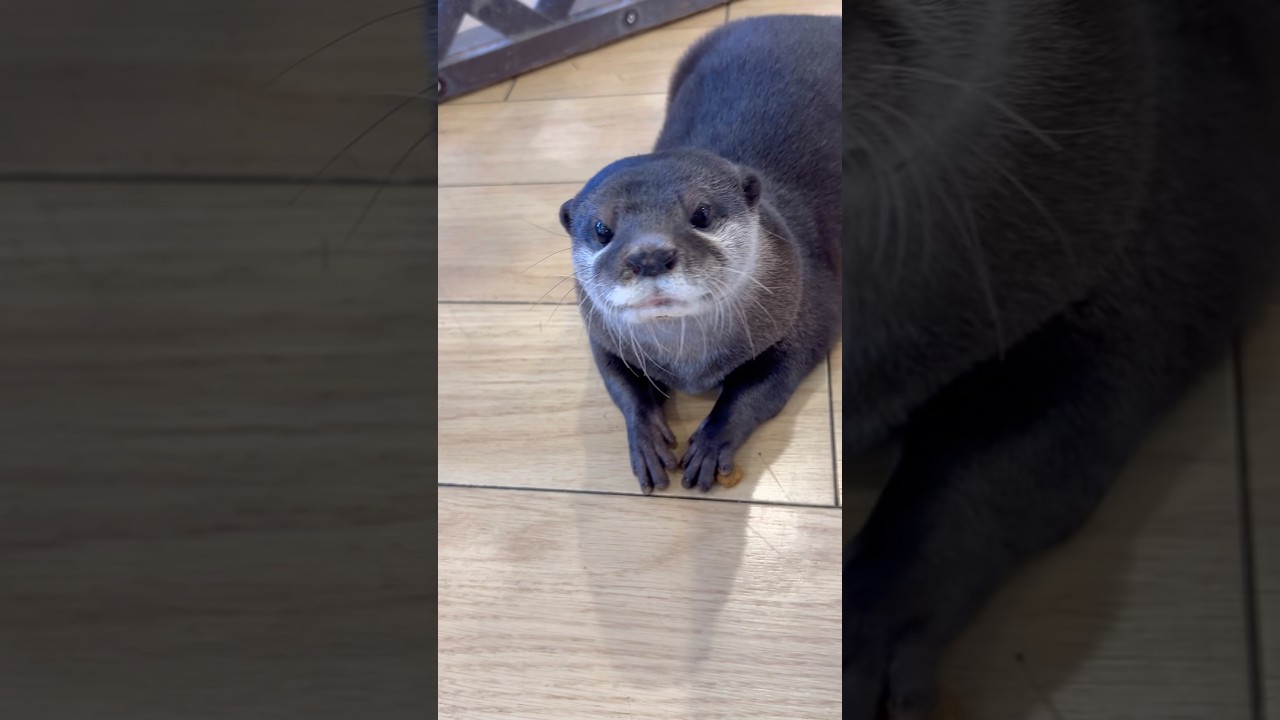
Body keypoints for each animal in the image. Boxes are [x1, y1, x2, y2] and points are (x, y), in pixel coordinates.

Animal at [558, 15, 841, 494]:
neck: (689, 362)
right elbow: (621, 385)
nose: (649, 255)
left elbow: (759, 390)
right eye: (601, 230)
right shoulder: (603, 334)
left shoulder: (807, 310)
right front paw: (647, 440)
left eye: (701, 214)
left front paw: (711, 442)